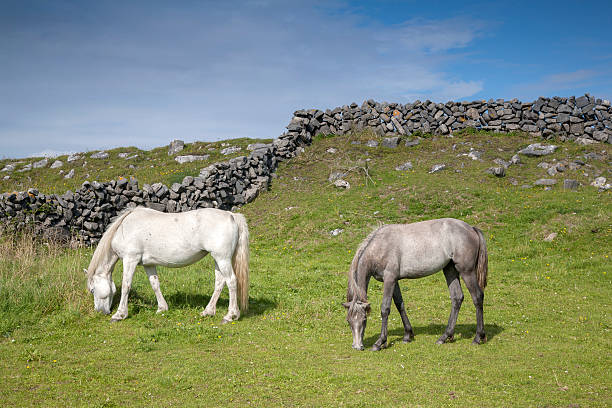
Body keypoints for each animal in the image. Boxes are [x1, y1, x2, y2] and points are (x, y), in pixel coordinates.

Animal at [85, 209, 250, 324]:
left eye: (92, 290)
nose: (100, 311)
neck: (125, 228)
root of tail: (231, 215)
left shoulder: (130, 259)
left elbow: (126, 286)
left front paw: (119, 314)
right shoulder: (149, 264)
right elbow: (155, 284)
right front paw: (162, 308)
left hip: (222, 259)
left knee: (231, 282)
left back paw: (230, 316)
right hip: (218, 260)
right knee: (220, 283)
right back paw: (208, 311)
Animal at [344, 218, 488, 350]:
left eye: (364, 319)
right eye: (349, 321)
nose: (357, 346)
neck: (380, 246)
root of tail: (471, 228)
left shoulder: (389, 279)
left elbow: (385, 308)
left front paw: (380, 342)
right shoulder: (394, 281)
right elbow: (400, 305)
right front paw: (407, 335)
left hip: (466, 272)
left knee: (477, 297)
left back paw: (478, 337)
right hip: (450, 269)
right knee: (457, 298)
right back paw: (445, 336)